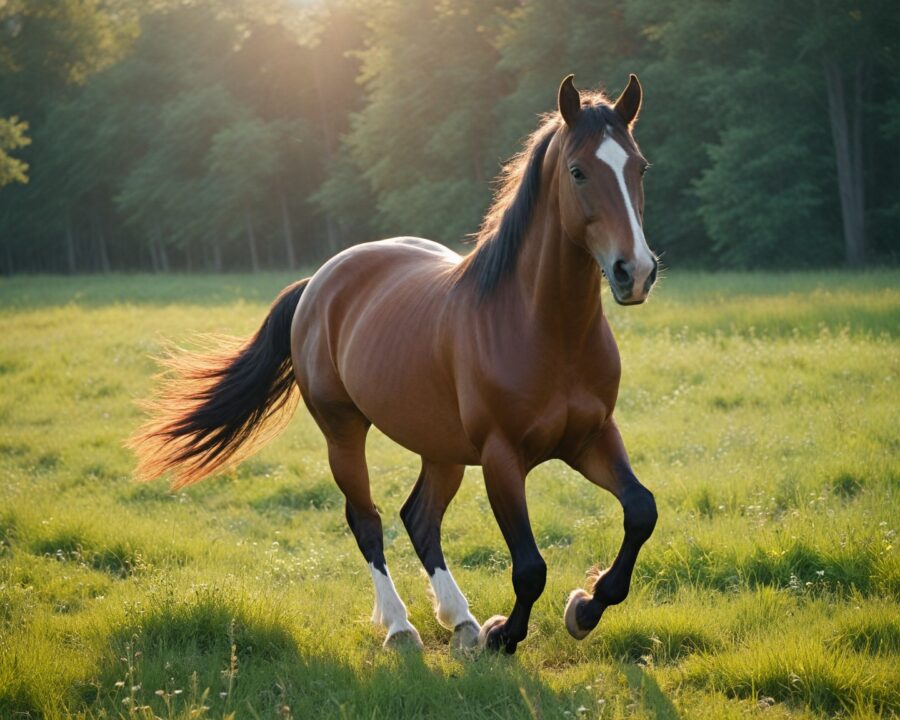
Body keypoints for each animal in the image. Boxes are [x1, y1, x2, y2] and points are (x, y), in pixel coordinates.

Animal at [129, 73, 659, 654]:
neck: (543, 328)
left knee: (419, 518)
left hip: (442, 448)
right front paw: (504, 635)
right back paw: (402, 626)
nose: (635, 272)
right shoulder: (502, 457)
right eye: (578, 170)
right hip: (343, 432)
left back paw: (459, 618)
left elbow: (641, 511)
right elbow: (529, 567)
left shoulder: (592, 438)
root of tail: (319, 281)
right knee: (367, 519)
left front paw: (584, 608)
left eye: (639, 167)